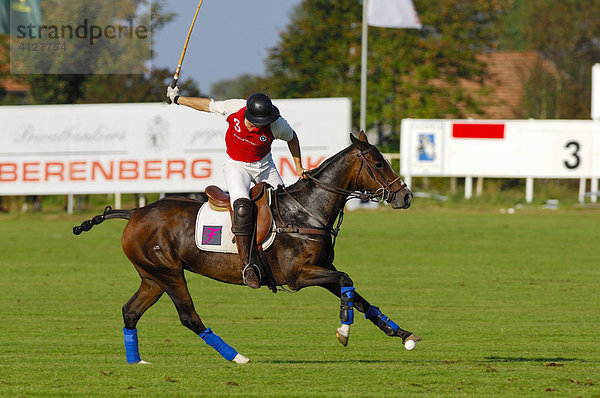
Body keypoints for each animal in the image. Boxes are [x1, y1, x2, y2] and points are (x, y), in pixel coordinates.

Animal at [74, 131, 422, 364]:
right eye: (378, 162)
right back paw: (237, 356)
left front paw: (403, 335)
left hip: (152, 276)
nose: (406, 196)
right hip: (169, 273)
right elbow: (348, 281)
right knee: (188, 316)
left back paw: (137, 362)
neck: (306, 211)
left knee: (130, 311)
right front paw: (344, 332)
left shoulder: (324, 269)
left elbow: (358, 297)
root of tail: (135, 212)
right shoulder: (298, 276)